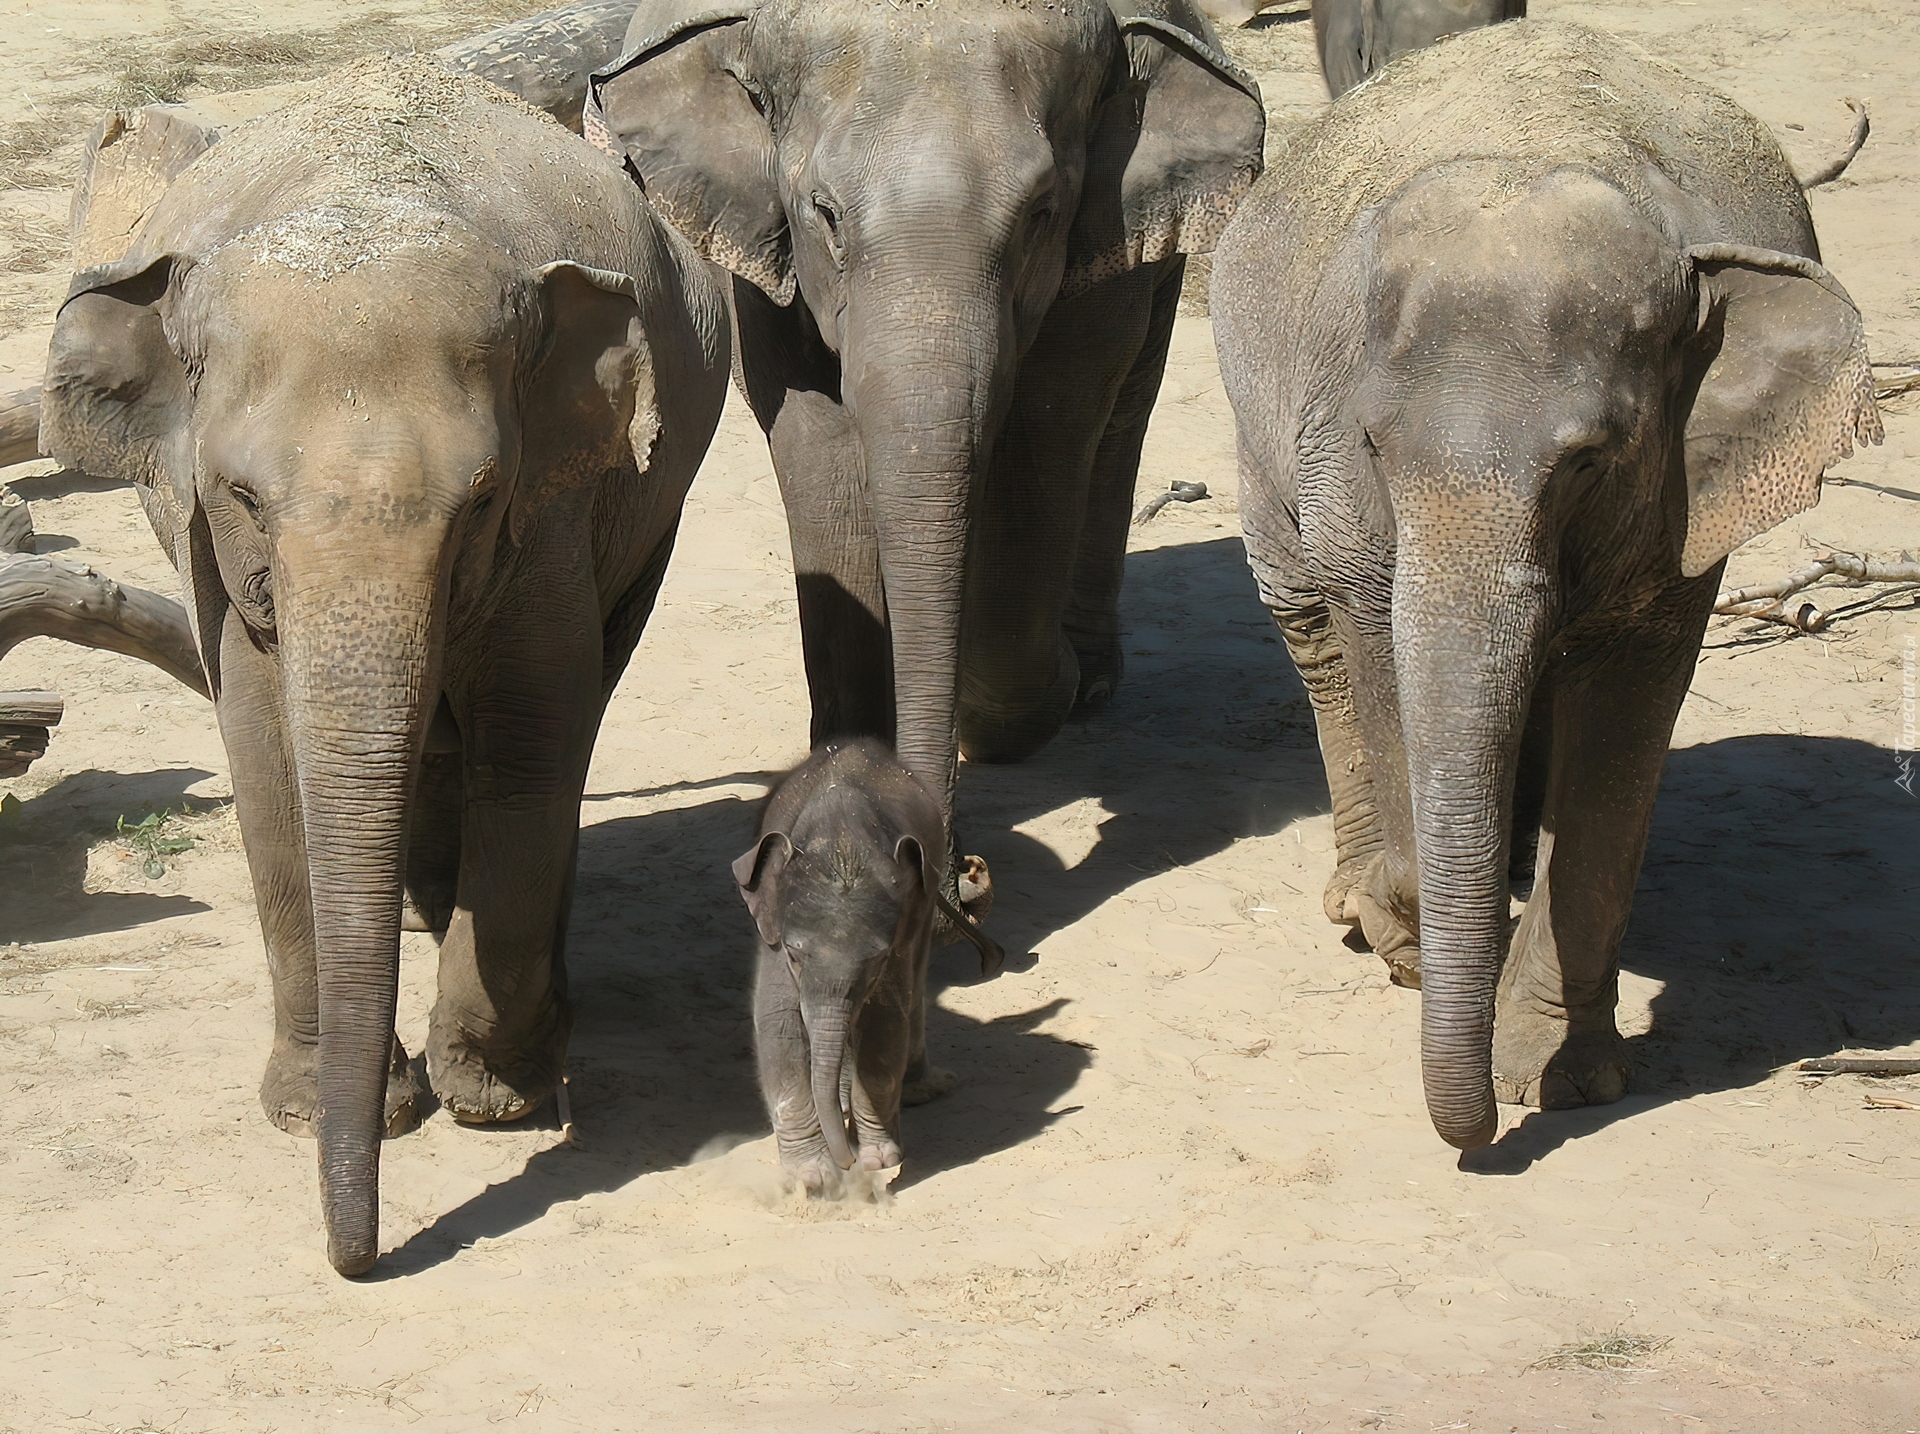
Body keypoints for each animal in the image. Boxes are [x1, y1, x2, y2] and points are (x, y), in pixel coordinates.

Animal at [45, 56, 733, 1274]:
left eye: (483, 500)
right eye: (241, 493)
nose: (359, 1260)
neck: (371, 192)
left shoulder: (555, 508)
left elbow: (536, 730)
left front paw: (493, 1097)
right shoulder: (217, 560)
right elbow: (263, 748)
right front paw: (322, 1108)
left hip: (657, 508)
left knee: (588, 691)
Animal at [591, 0, 1267, 1090]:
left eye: (1040, 210)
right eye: (823, 210)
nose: (959, 884)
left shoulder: (1098, 249)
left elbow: (1045, 426)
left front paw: (1025, 700)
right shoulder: (767, 264)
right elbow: (818, 446)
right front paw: (847, 802)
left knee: (1120, 417)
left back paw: (1087, 677)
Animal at [733, 744, 1006, 1197]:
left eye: (876, 961)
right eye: (793, 956)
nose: (848, 1165)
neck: (841, 833)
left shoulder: (900, 928)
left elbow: (884, 1020)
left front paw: (879, 1160)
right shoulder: (772, 927)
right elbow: (777, 1021)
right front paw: (814, 1178)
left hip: (925, 902)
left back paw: (915, 1090)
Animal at [1213, 19, 1873, 1151]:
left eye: (1588, 462)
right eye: (1378, 448)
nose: (1476, 1140)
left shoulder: (1684, 507)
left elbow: (1627, 708)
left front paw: (1554, 1083)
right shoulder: (1336, 464)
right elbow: (1378, 645)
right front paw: (1402, 935)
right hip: (1251, 411)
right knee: (1308, 623)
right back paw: (1357, 899)